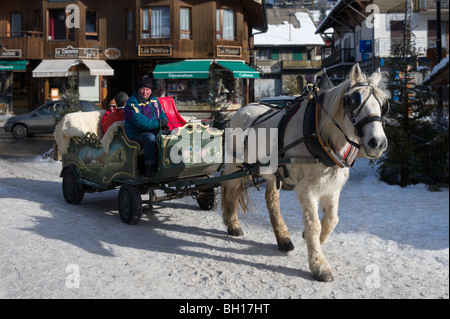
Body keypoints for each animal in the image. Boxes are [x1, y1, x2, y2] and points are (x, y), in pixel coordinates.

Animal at [220, 63, 388, 282]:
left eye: (384, 104)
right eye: (354, 101)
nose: (378, 143)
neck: (318, 134)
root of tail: (242, 109)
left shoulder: (332, 187)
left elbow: (332, 219)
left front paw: (315, 239)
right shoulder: (307, 189)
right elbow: (314, 223)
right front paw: (319, 265)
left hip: (272, 174)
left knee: (272, 200)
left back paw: (283, 238)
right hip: (235, 166)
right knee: (230, 191)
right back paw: (233, 224)